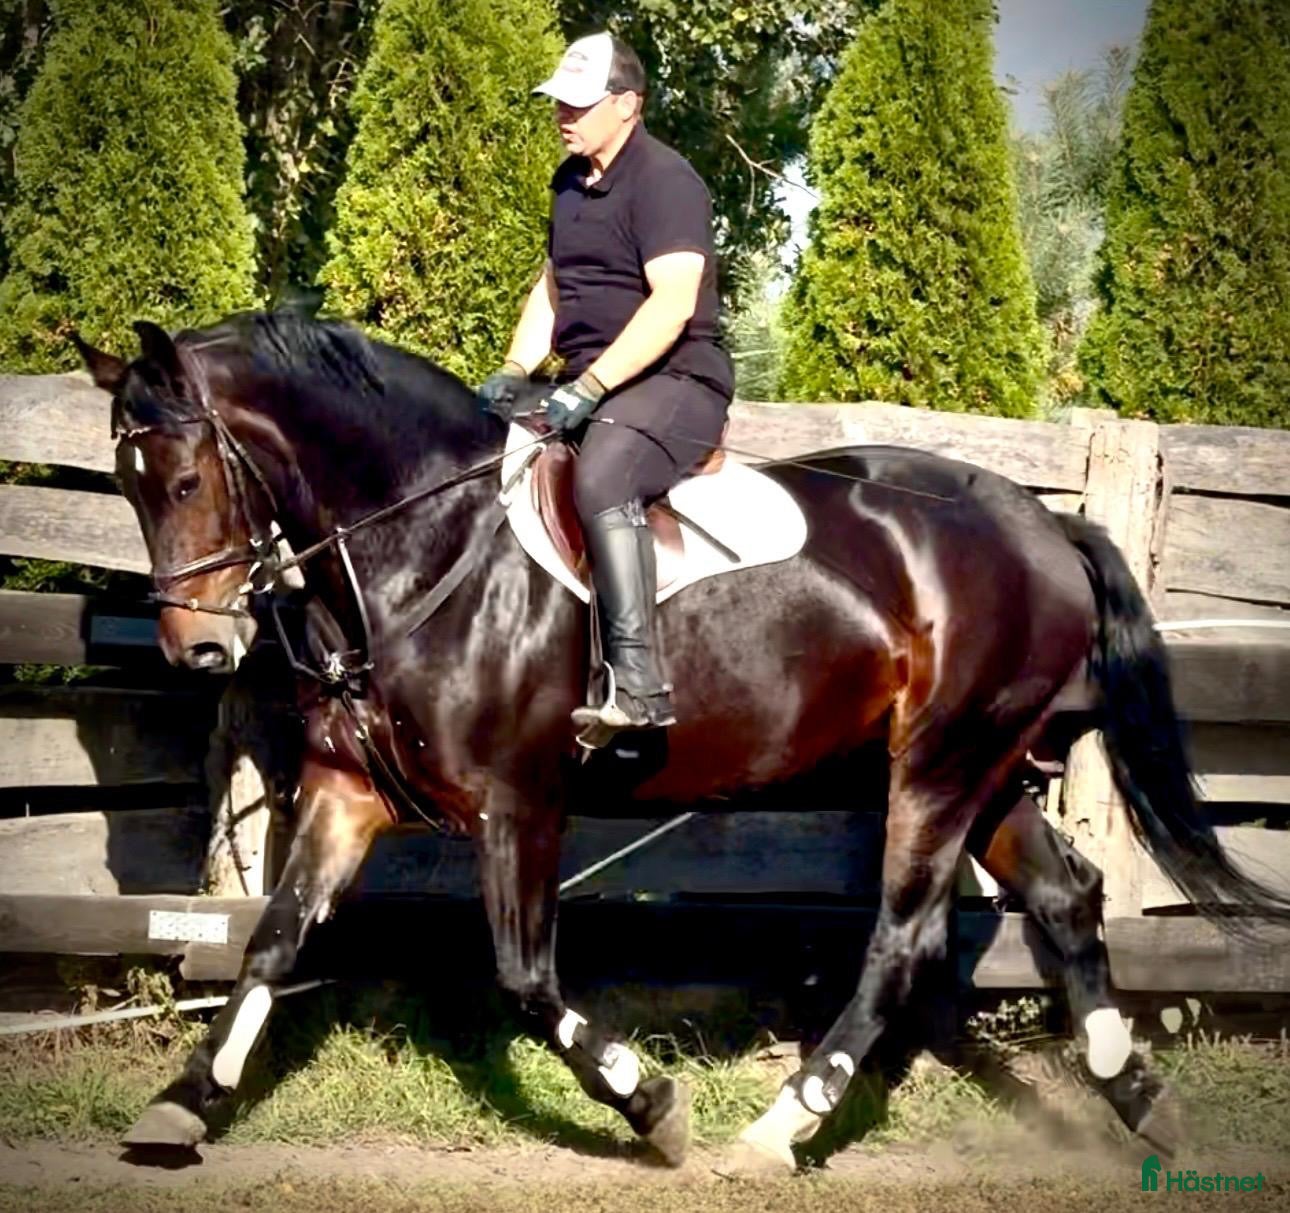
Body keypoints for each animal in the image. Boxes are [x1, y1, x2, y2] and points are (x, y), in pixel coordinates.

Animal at [72, 309, 1290, 1173]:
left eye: (187, 477)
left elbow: (524, 976)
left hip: (940, 769)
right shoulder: (344, 790)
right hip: (981, 770)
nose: (197, 649)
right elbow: (272, 942)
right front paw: (183, 1105)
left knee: (901, 940)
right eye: (126, 488)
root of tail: (1042, 521)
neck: (427, 541)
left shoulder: (522, 804)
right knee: (1068, 896)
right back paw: (1143, 1102)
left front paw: (653, 1103)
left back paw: (782, 1126)